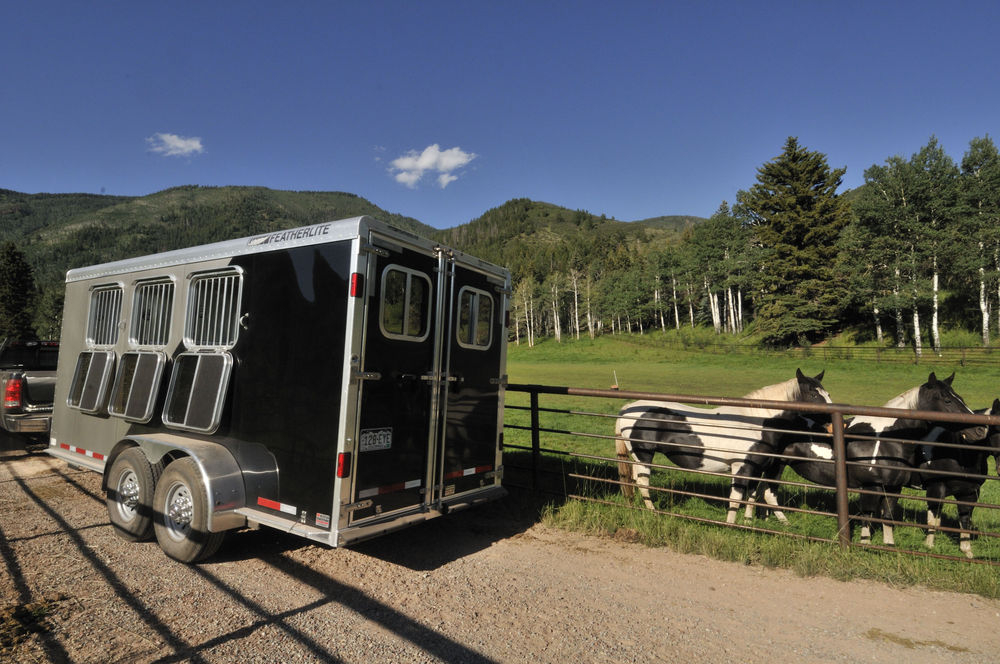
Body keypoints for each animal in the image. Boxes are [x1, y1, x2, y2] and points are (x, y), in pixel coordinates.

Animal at [612, 368, 832, 524]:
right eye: (814, 395)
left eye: (827, 393)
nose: (831, 422)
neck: (756, 422)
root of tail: (627, 408)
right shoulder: (740, 467)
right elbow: (735, 498)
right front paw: (730, 525)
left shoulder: (756, 469)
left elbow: (751, 496)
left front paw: (748, 522)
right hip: (644, 455)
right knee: (642, 482)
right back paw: (653, 513)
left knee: (633, 480)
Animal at [776, 374, 980, 544]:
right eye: (947, 400)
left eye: (961, 398)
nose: (979, 430)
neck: (884, 441)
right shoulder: (870, 487)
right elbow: (867, 516)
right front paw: (865, 544)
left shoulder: (893, 488)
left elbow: (887, 517)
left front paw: (888, 545)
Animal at [916, 396, 996, 556]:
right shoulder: (935, 489)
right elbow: (933, 521)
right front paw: (928, 546)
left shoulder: (970, 493)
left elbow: (965, 520)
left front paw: (967, 551)